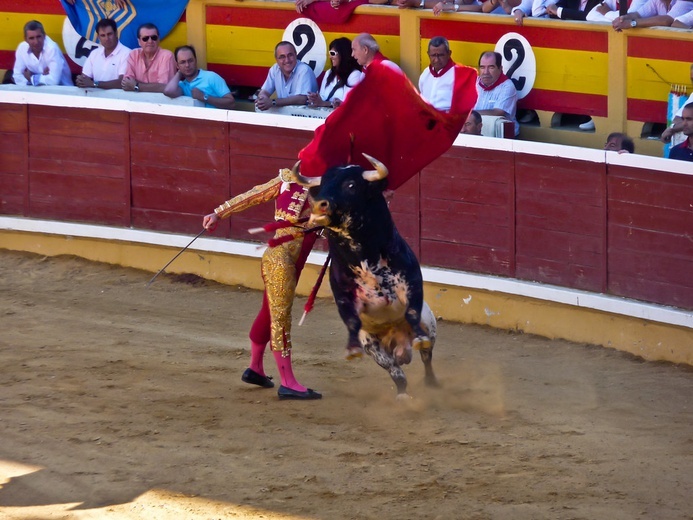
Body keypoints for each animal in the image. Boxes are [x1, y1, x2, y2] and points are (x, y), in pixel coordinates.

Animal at [294, 154, 436, 398]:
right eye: (322, 185)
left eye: (351, 185)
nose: (319, 204)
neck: (364, 256)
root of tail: (400, 345)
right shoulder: (345, 296)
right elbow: (351, 319)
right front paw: (351, 349)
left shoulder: (412, 284)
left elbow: (412, 312)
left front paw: (419, 337)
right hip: (373, 346)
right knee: (395, 370)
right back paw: (402, 394)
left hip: (430, 323)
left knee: (427, 356)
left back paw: (431, 383)